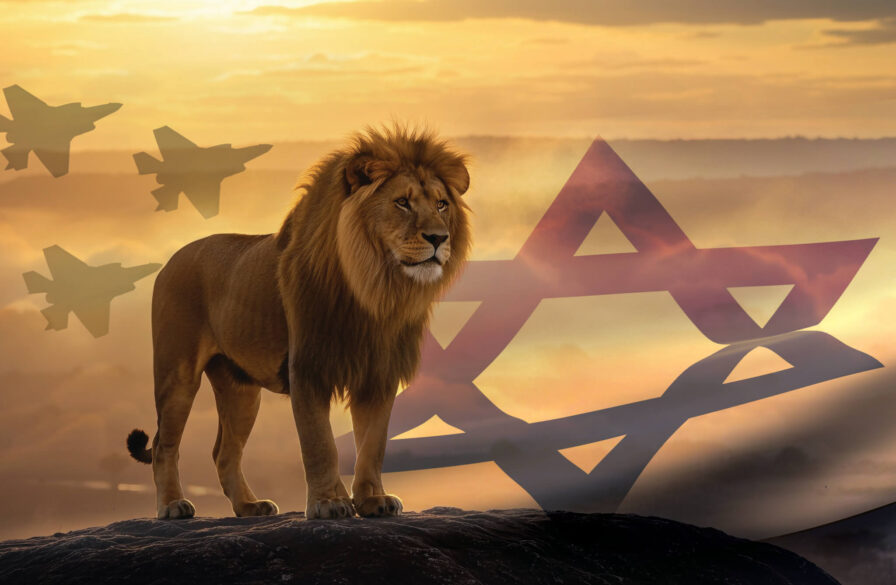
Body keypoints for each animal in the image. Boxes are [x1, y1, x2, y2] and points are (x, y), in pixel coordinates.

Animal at [126, 125, 471, 520]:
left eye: (442, 204)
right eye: (402, 202)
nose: (439, 238)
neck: (375, 288)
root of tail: (171, 259)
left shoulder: (379, 373)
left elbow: (373, 444)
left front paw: (373, 500)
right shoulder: (307, 368)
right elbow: (320, 444)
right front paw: (328, 503)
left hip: (240, 388)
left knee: (224, 452)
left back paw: (249, 506)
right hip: (177, 373)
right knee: (163, 445)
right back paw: (172, 506)